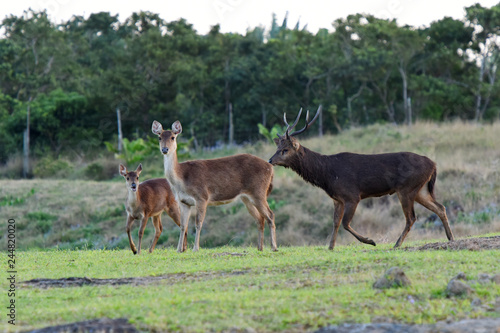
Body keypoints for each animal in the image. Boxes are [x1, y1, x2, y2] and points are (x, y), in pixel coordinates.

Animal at [152, 119, 278, 252]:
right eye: (159, 137)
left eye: (173, 137)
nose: (165, 149)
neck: (182, 179)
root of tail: (270, 168)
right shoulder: (183, 201)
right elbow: (183, 225)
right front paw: (179, 249)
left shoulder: (202, 196)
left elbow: (198, 223)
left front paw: (195, 248)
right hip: (247, 198)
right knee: (260, 219)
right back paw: (260, 247)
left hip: (258, 191)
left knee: (270, 215)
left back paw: (274, 247)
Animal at [268, 106, 456, 249]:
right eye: (278, 148)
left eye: (285, 150)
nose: (270, 160)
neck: (327, 176)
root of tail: (433, 165)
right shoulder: (337, 199)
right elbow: (336, 222)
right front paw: (330, 247)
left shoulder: (352, 195)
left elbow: (345, 223)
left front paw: (370, 241)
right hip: (420, 189)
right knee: (440, 207)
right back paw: (450, 238)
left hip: (407, 188)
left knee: (411, 218)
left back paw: (397, 244)